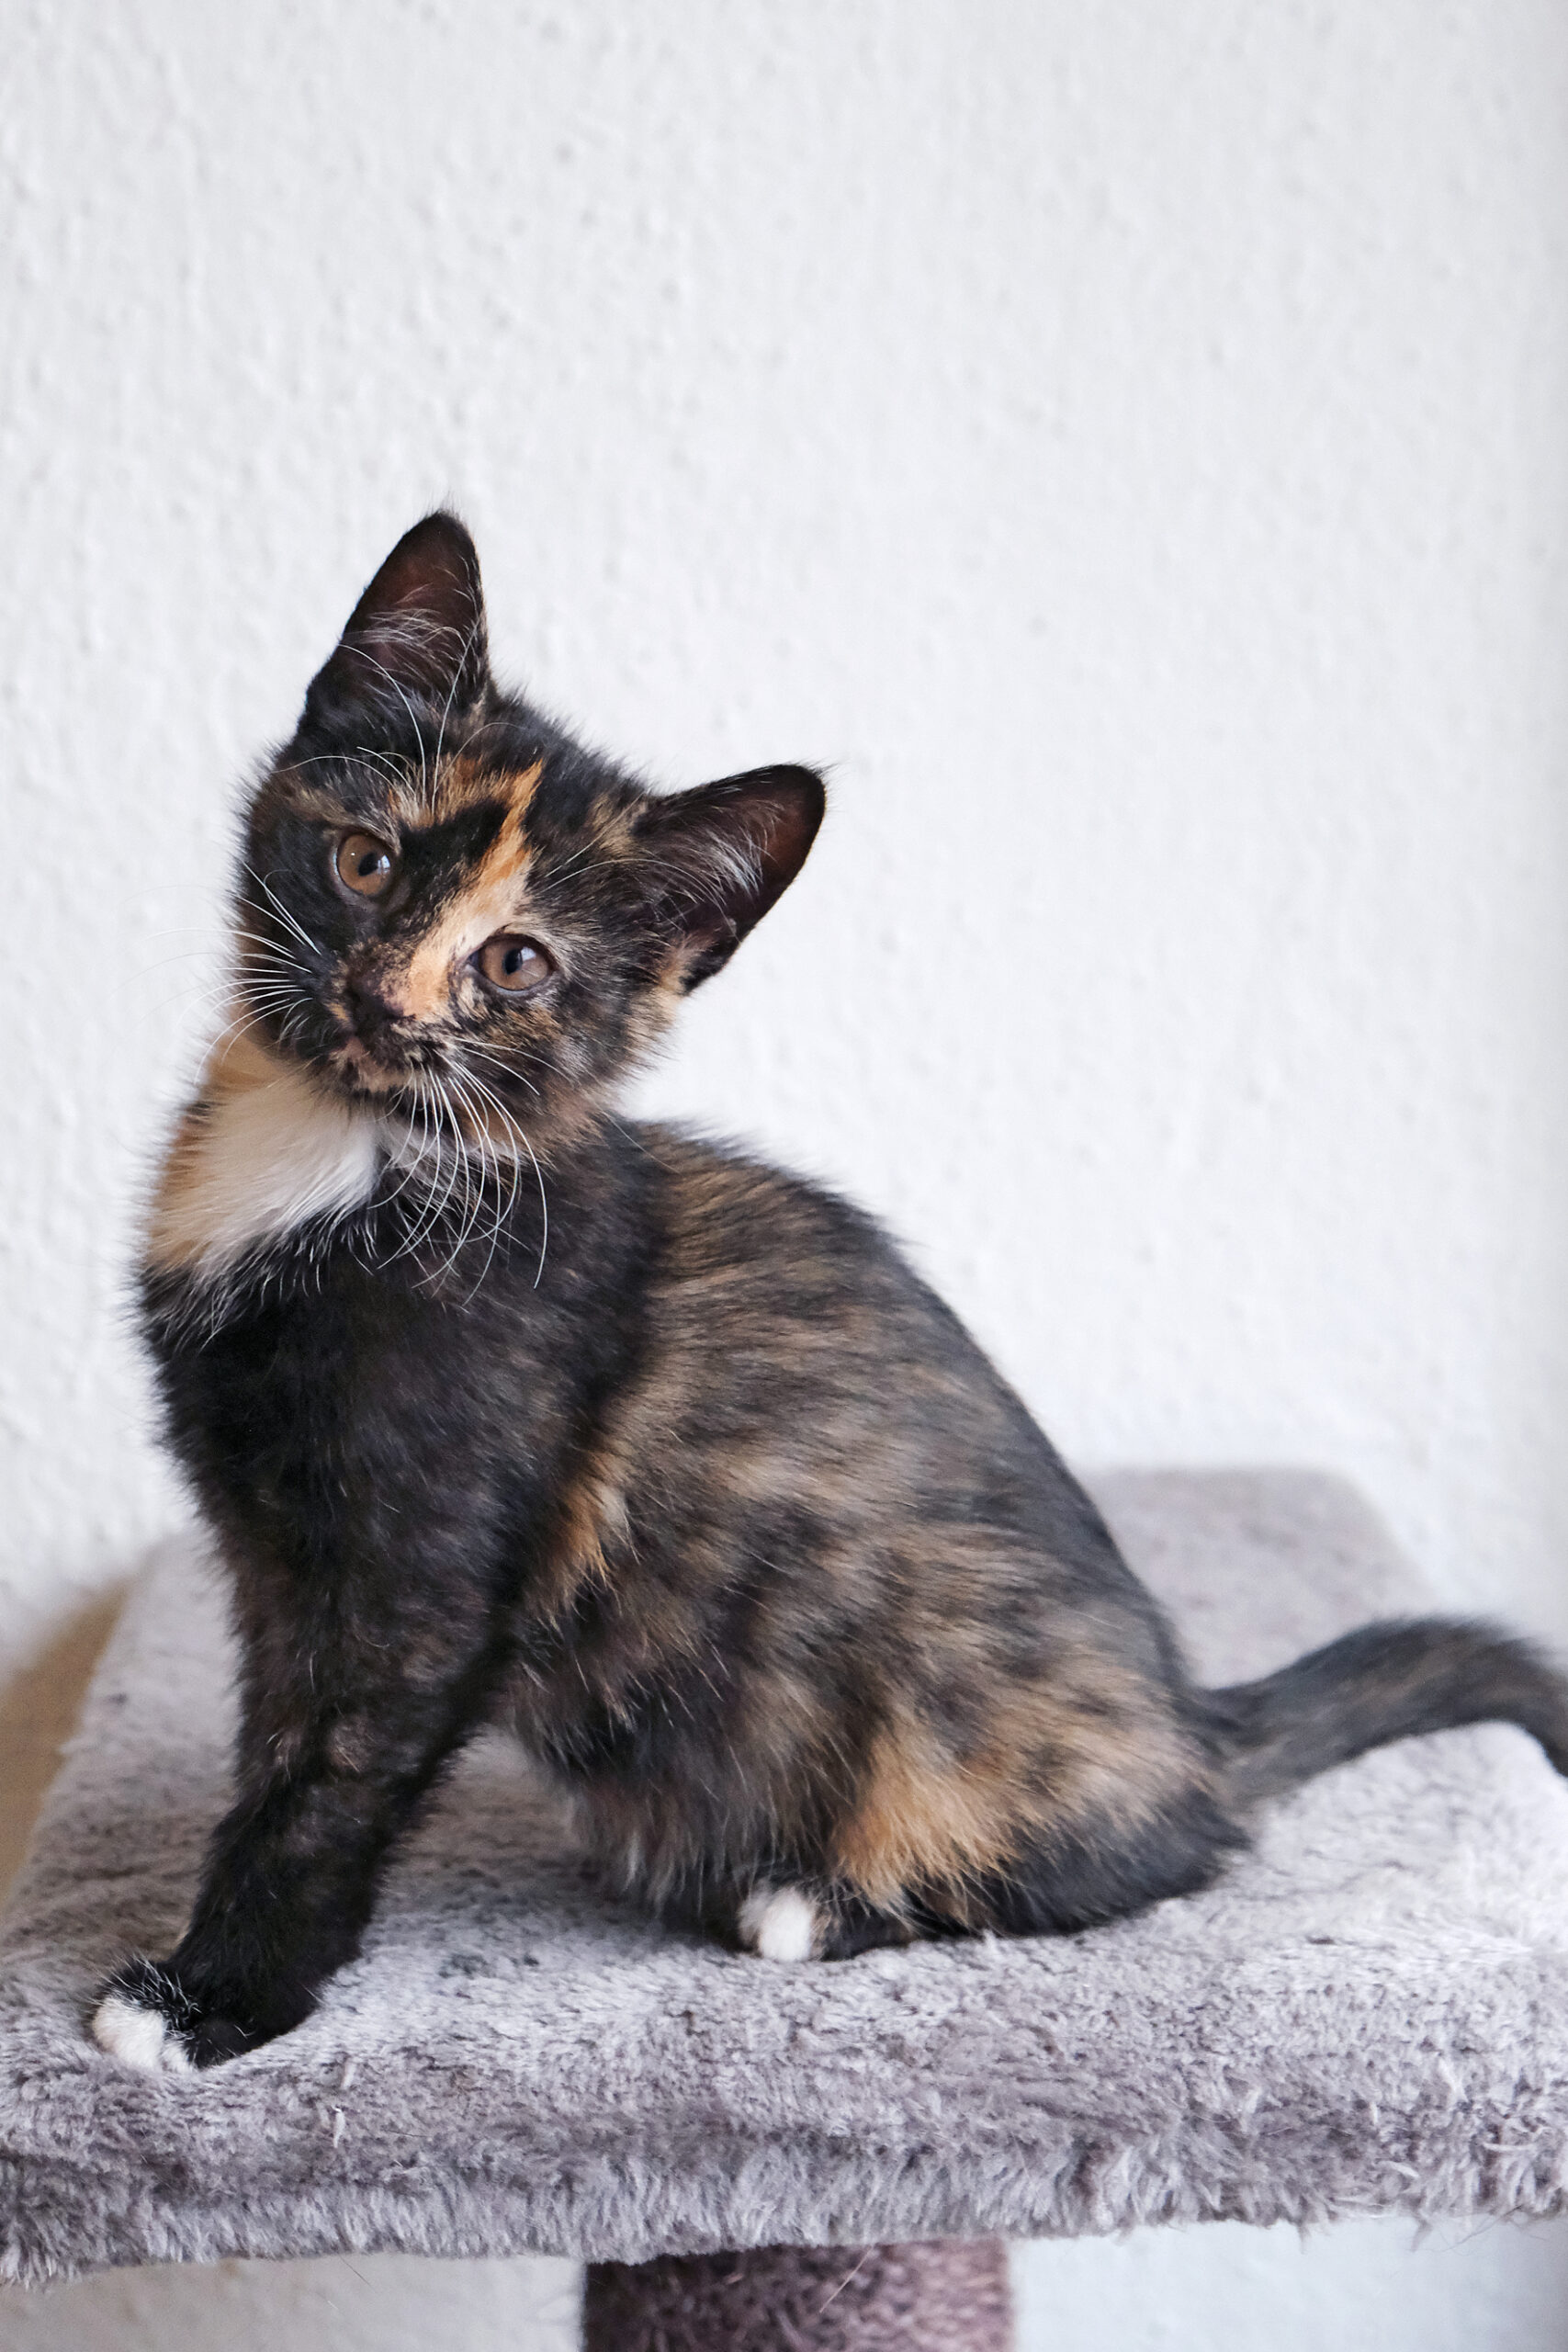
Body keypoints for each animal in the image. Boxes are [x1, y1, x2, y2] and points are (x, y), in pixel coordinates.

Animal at [92, 513, 1568, 2072]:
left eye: (515, 963)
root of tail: (1187, 1720)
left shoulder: (422, 1568)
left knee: (1165, 1852)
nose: (383, 997)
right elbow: (271, 1740)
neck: (350, 1155)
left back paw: (822, 1900)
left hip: (954, 1719)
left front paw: (212, 1998)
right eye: (366, 862)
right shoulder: (269, 1548)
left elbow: (327, 1777)